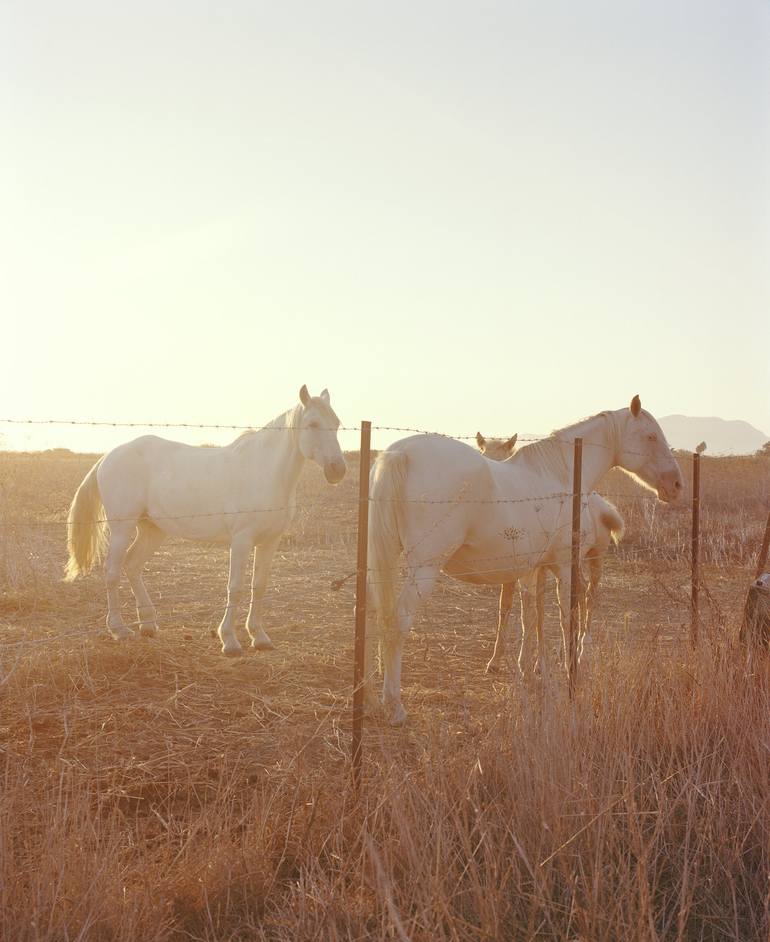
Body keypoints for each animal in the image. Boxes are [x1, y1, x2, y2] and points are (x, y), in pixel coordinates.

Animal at [63, 384, 344, 656]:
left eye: (337, 423)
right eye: (313, 424)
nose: (338, 470)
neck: (263, 472)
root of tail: (108, 455)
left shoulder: (270, 541)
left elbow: (259, 586)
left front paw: (259, 637)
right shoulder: (241, 541)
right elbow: (235, 587)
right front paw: (229, 640)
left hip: (153, 530)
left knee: (132, 565)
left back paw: (148, 624)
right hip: (122, 528)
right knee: (112, 571)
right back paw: (119, 629)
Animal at [474, 432, 624, 676]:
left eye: (503, 458)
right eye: (483, 455)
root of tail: (602, 504)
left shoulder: (535, 569)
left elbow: (537, 610)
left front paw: (538, 663)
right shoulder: (524, 569)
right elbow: (509, 606)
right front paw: (497, 660)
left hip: (596, 558)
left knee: (590, 595)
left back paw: (584, 647)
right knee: (580, 591)